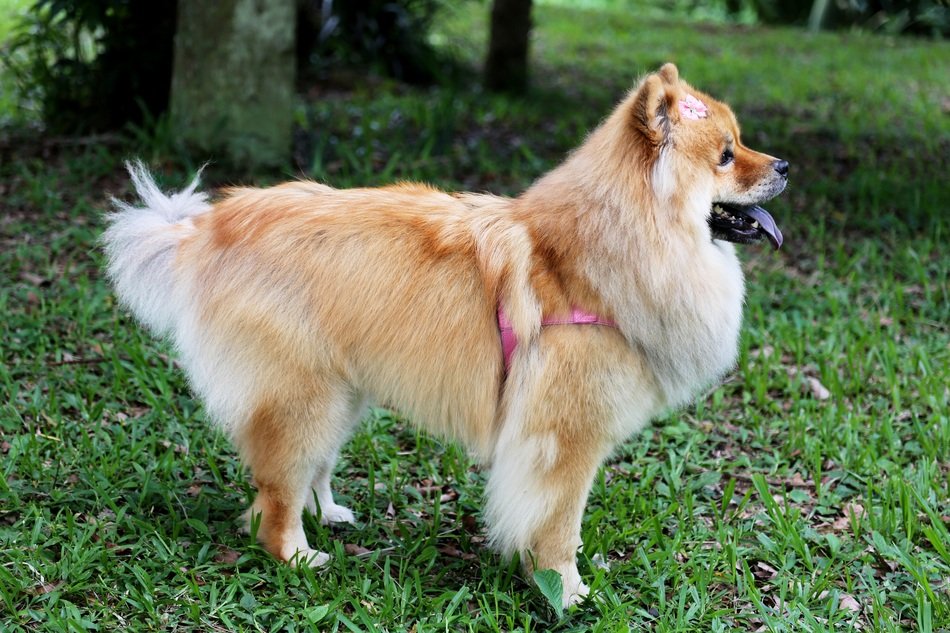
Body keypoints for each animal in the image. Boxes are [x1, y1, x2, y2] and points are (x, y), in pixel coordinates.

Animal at [104, 64, 788, 608]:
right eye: (727, 155)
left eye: (740, 143)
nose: (783, 164)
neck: (594, 258)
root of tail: (211, 227)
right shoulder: (564, 442)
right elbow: (559, 526)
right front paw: (566, 591)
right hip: (304, 396)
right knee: (275, 496)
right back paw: (298, 555)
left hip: (339, 393)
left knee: (308, 471)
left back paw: (329, 514)